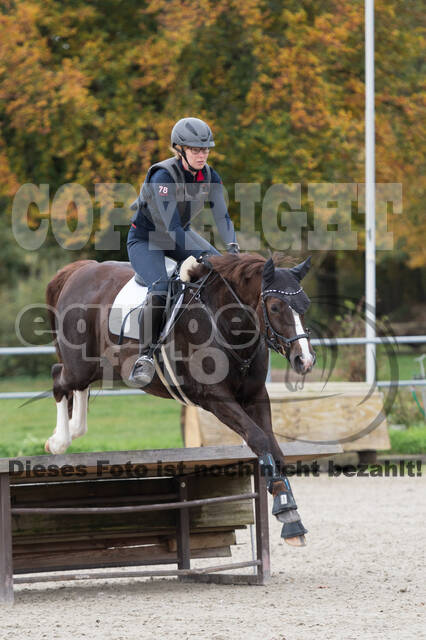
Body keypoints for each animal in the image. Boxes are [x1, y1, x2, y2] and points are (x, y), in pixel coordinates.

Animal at [44, 252, 316, 548]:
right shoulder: (216, 398)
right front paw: (286, 509)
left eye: (305, 305)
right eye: (276, 307)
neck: (225, 323)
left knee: (77, 386)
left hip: (96, 367)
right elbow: (259, 438)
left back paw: (74, 429)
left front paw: (290, 514)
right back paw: (59, 441)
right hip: (79, 364)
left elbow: (274, 449)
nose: (305, 360)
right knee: (59, 377)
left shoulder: (255, 396)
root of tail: (81, 270)